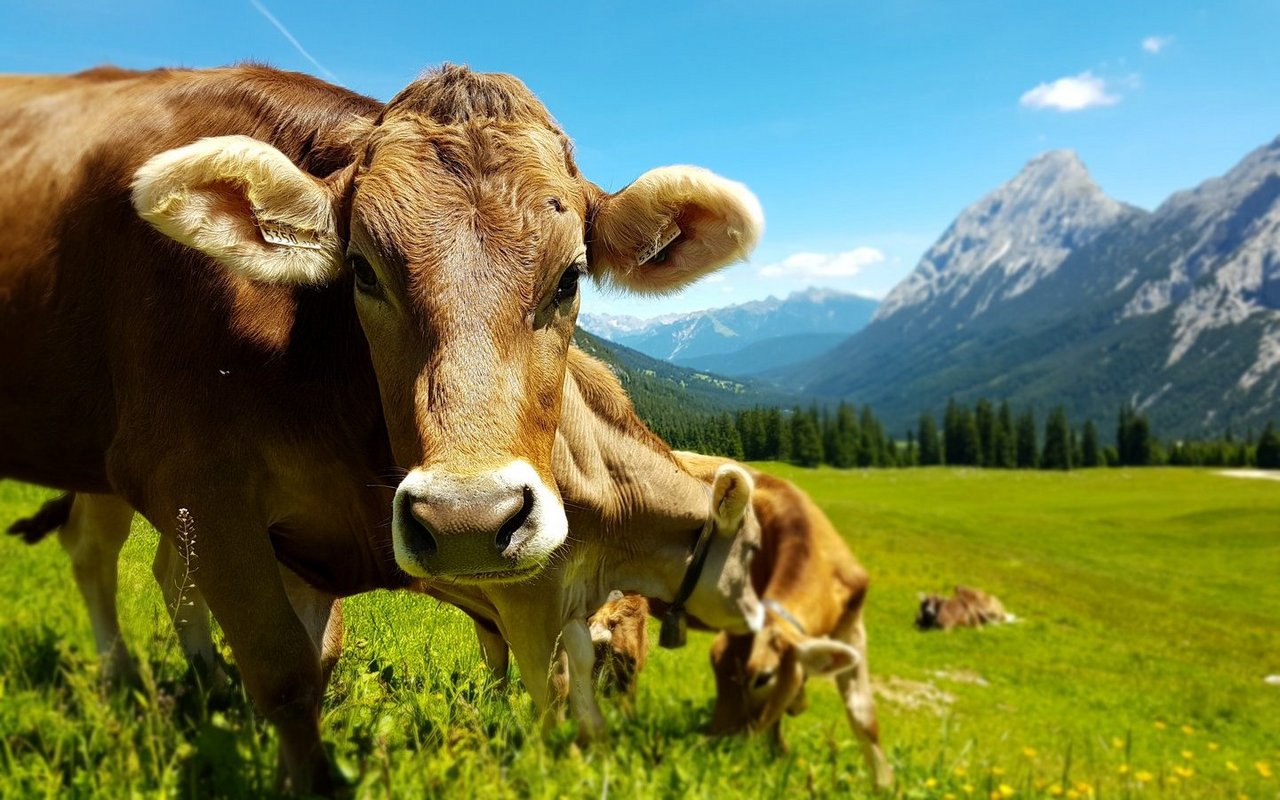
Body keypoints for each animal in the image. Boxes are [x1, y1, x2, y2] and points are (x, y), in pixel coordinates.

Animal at [0, 63, 762, 792]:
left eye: (570, 277)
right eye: (362, 271)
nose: (468, 520)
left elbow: (327, 657)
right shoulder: (194, 484)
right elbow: (287, 673)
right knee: (95, 552)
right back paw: (126, 681)